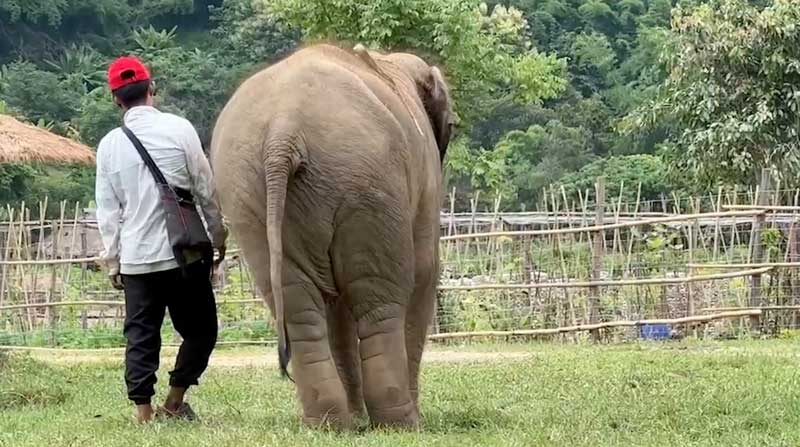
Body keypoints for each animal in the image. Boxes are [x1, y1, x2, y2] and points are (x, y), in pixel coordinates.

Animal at [209, 43, 454, 430]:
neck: (388, 61)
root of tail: (284, 129)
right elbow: (425, 272)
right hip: (368, 182)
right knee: (381, 298)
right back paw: (401, 423)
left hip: (248, 195)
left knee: (299, 305)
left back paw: (330, 423)